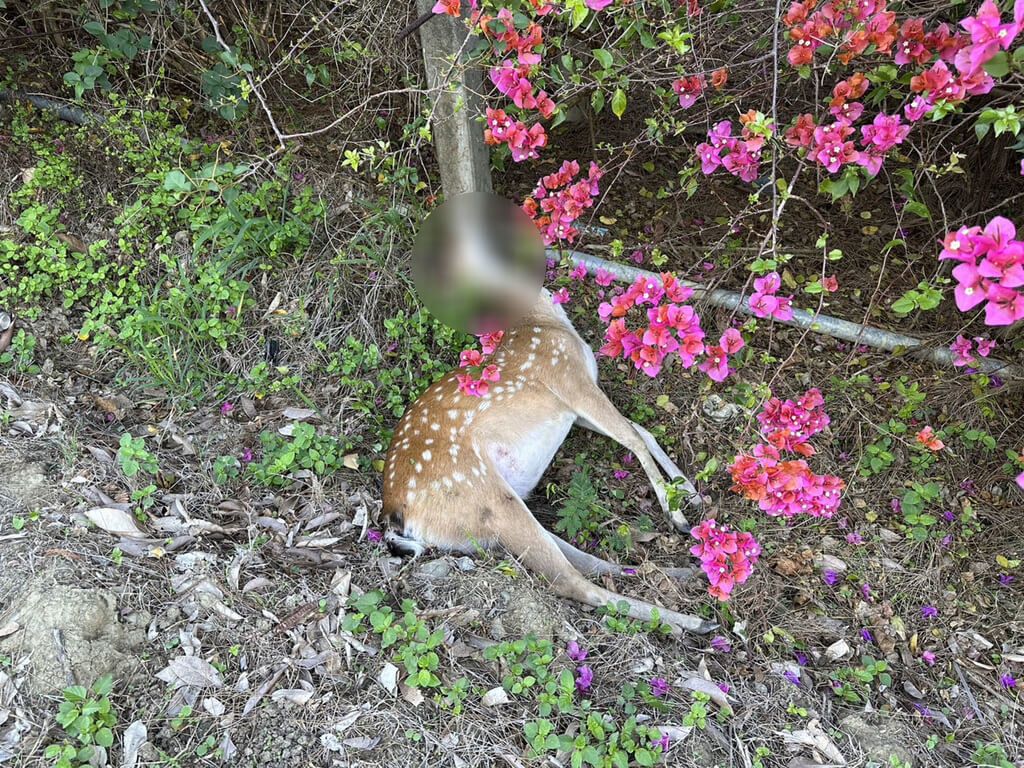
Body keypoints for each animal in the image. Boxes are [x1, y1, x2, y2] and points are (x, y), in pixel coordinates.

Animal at [381, 286, 715, 636]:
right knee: (569, 580)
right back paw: (696, 620)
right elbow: (632, 436)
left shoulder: (572, 406)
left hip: (486, 522)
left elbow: (642, 431)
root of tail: (394, 515)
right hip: (484, 497)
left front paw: (690, 491)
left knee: (584, 562)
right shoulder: (569, 378)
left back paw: (684, 573)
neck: (546, 320)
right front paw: (676, 513)